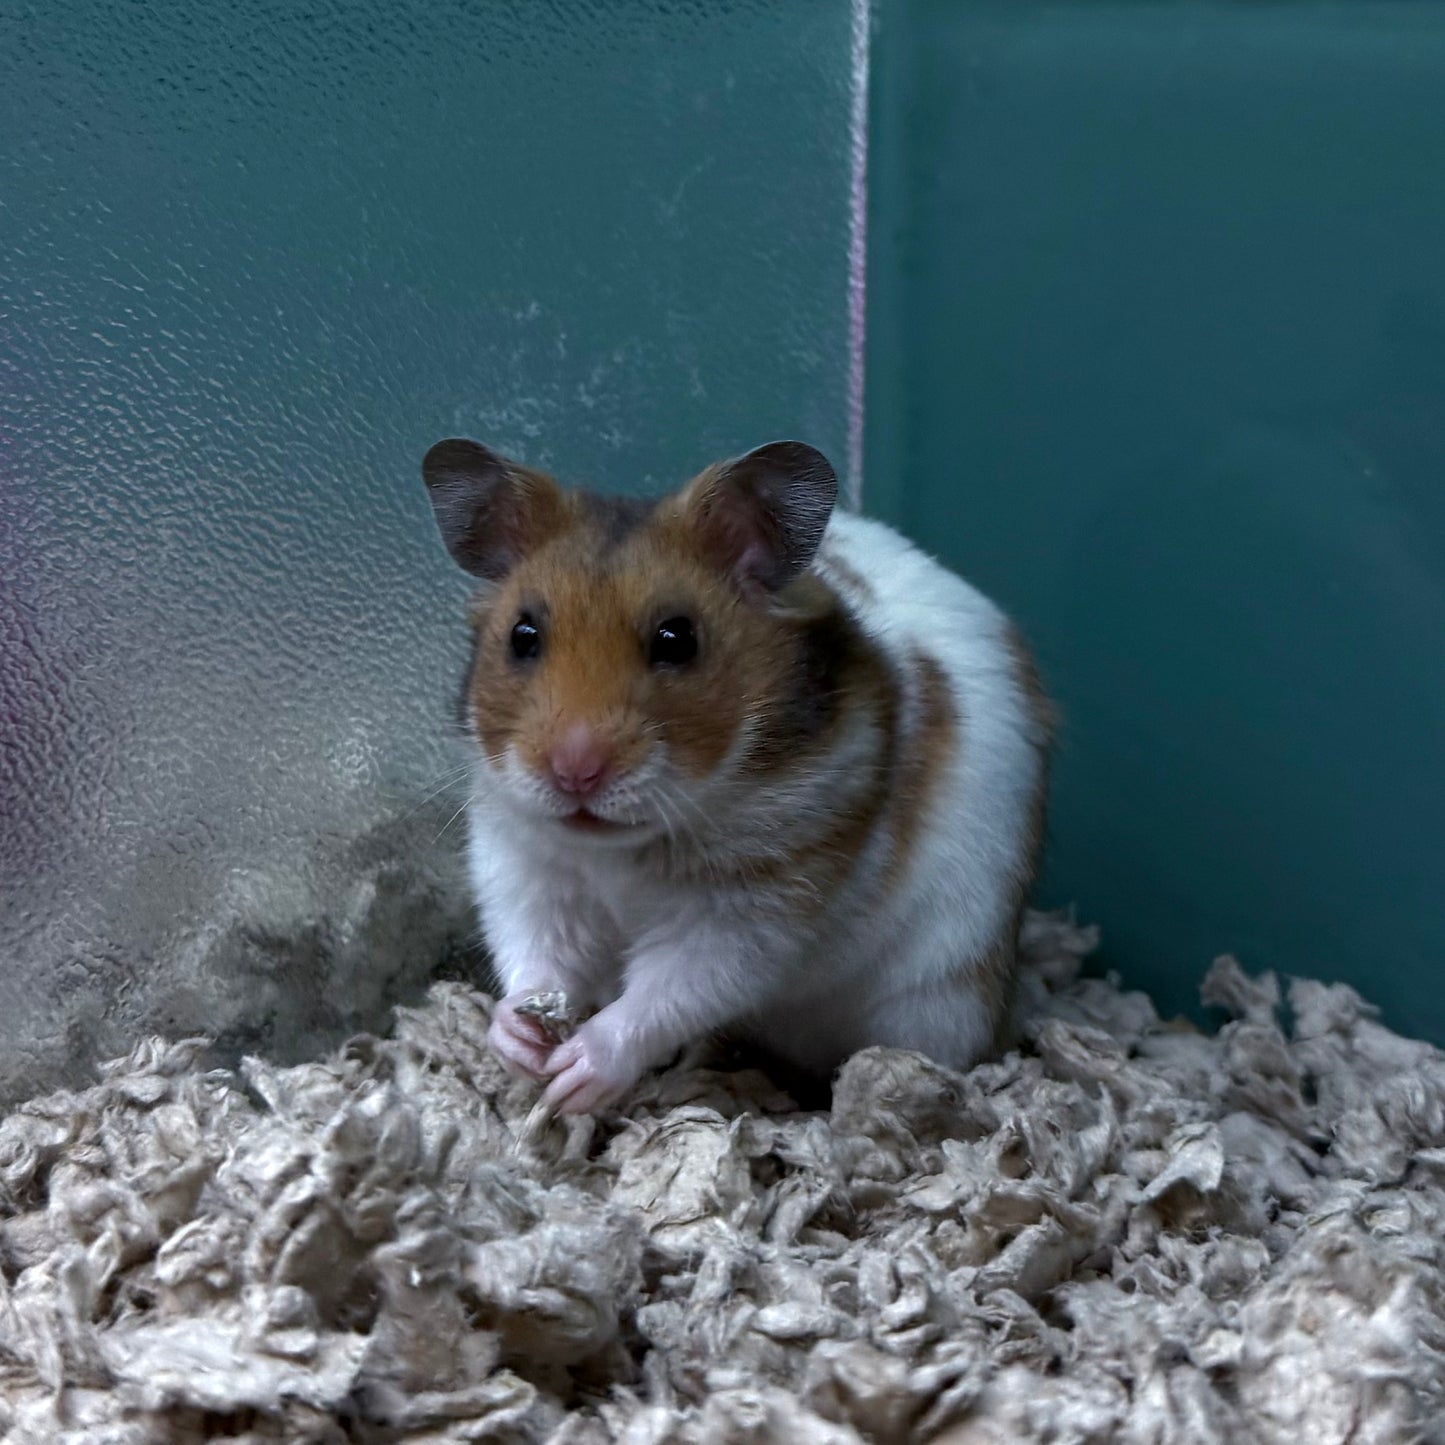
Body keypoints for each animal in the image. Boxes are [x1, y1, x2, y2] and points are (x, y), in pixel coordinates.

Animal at [421, 437, 1053, 1115]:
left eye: (677, 639)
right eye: (523, 635)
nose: (574, 772)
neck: (622, 851)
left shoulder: (750, 911)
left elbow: (669, 992)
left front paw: (574, 1076)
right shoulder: (525, 867)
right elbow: (534, 953)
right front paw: (516, 1041)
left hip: (938, 998)